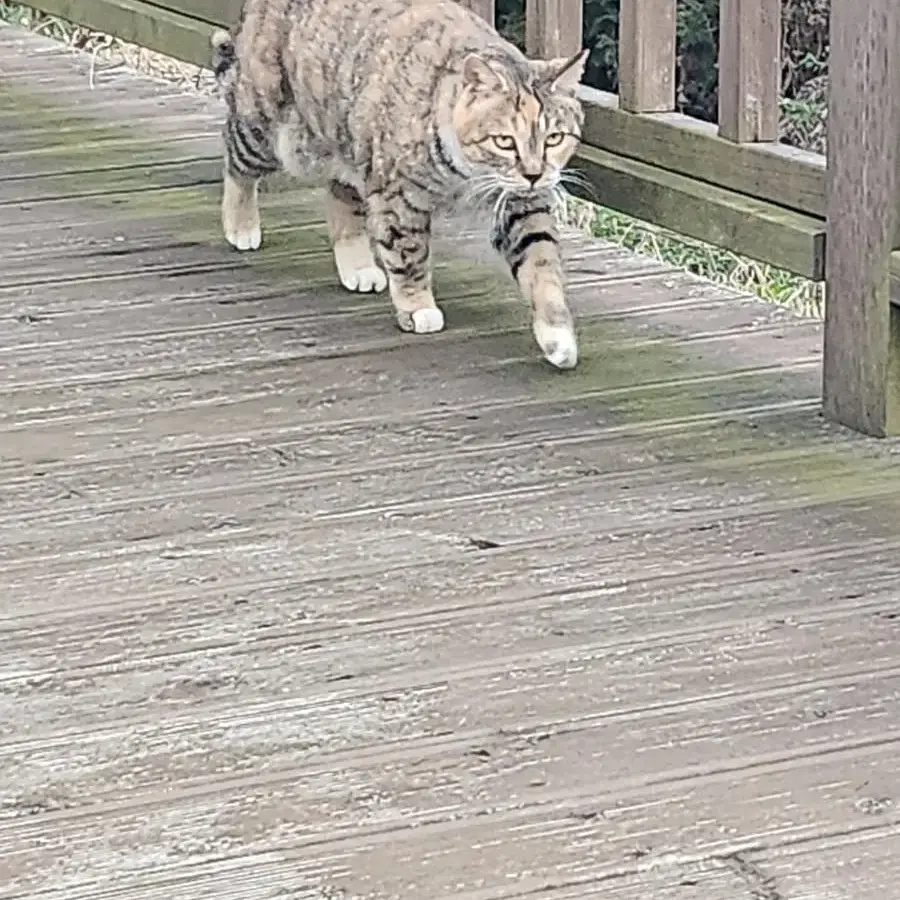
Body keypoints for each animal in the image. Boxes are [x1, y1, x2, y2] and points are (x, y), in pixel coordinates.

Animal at [212, 0, 592, 370]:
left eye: (555, 138)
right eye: (504, 141)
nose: (534, 174)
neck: (467, 174)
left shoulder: (521, 205)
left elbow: (541, 263)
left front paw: (558, 336)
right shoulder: (399, 197)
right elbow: (409, 254)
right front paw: (417, 307)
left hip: (350, 144)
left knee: (340, 197)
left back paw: (359, 267)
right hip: (270, 127)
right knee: (236, 150)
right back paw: (241, 225)